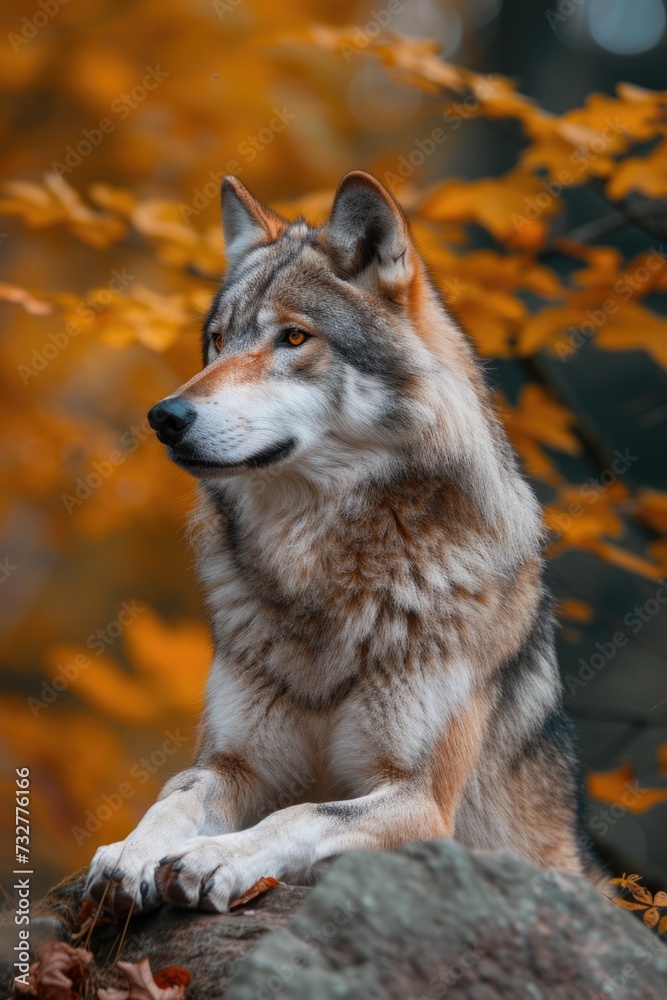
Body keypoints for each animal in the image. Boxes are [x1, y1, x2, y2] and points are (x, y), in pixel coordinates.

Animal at [85, 170, 600, 915]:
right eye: (217, 340)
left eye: (294, 337)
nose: (164, 417)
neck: (323, 579)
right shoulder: (232, 763)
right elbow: (173, 798)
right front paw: (130, 852)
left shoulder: (421, 802)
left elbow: (300, 814)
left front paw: (216, 857)